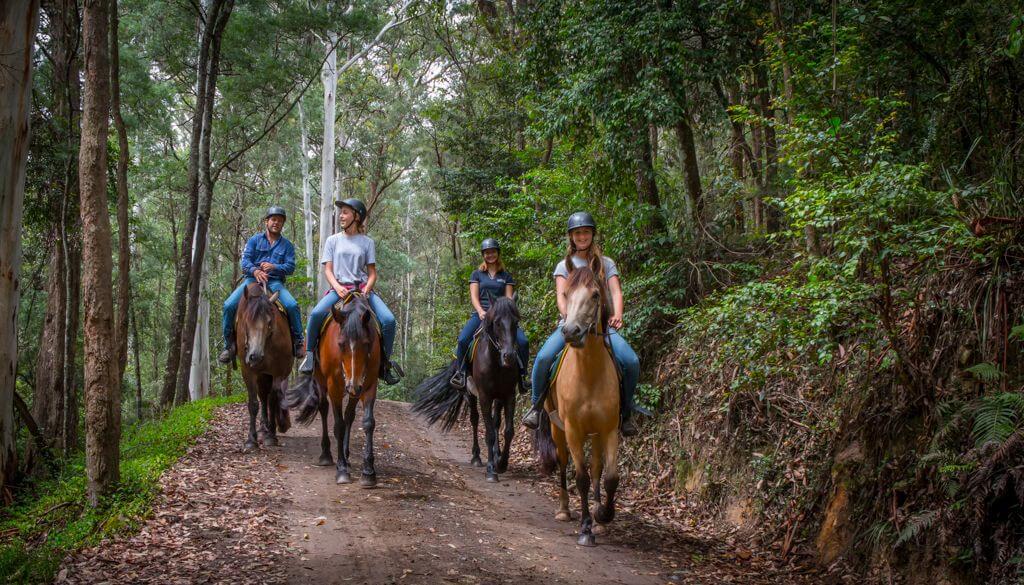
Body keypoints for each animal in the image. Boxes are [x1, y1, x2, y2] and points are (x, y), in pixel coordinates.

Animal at [233, 280, 290, 450]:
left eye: (270, 322)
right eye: (246, 321)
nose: (255, 356)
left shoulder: (278, 372)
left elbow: (273, 400)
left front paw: (271, 436)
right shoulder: (248, 371)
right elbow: (253, 403)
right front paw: (251, 440)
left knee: (268, 397)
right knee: (263, 396)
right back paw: (263, 428)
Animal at [290, 290, 382, 487]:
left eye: (366, 343)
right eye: (340, 344)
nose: (353, 385)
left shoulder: (369, 385)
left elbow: (367, 423)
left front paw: (368, 472)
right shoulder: (335, 387)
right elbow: (338, 425)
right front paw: (342, 470)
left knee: (349, 416)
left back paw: (346, 456)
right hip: (321, 379)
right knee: (324, 408)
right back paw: (326, 455)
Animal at [409, 295, 520, 483]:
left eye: (516, 322)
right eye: (497, 323)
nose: (509, 356)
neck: (496, 362)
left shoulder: (508, 395)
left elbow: (508, 430)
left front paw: (502, 463)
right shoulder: (484, 396)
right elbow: (489, 433)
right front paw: (492, 470)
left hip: (497, 397)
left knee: (496, 422)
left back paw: (496, 455)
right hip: (471, 394)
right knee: (475, 420)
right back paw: (476, 457)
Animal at [532, 268, 618, 549]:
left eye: (596, 294)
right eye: (566, 293)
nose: (571, 331)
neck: (589, 373)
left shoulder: (609, 429)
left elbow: (609, 477)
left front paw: (602, 515)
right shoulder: (573, 430)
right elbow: (580, 477)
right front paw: (586, 529)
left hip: (596, 435)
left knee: (597, 469)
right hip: (557, 429)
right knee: (563, 461)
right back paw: (564, 510)